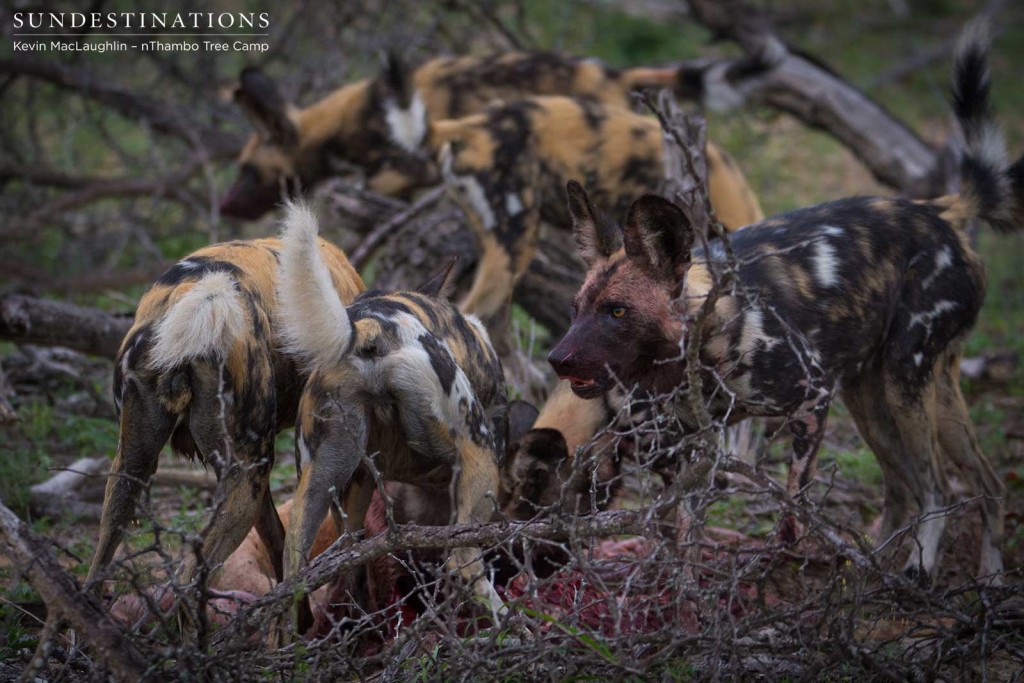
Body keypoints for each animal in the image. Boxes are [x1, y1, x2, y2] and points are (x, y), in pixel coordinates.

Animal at [88, 237, 366, 606]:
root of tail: (200, 297)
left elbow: (278, 543)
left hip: (138, 469)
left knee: (97, 564)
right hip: (246, 485)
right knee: (188, 582)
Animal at [276, 204, 507, 634]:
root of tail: (368, 326)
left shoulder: (360, 487)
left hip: (320, 492)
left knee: (294, 584)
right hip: (479, 456)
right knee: (462, 564)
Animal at [552, 25, 1015, 581]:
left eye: (617, 312)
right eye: (577, 308)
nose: (558, 360)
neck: (701, 341)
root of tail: (943, 212)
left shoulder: (812, 399)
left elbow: (793, 511)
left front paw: (781, 564)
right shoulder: (694, 446)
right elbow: (685, 535)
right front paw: (685, 589)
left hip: (905, 381)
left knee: (936, 488)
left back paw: (917, 570)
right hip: (881, 395)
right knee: (962, 486)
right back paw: (932, 572)